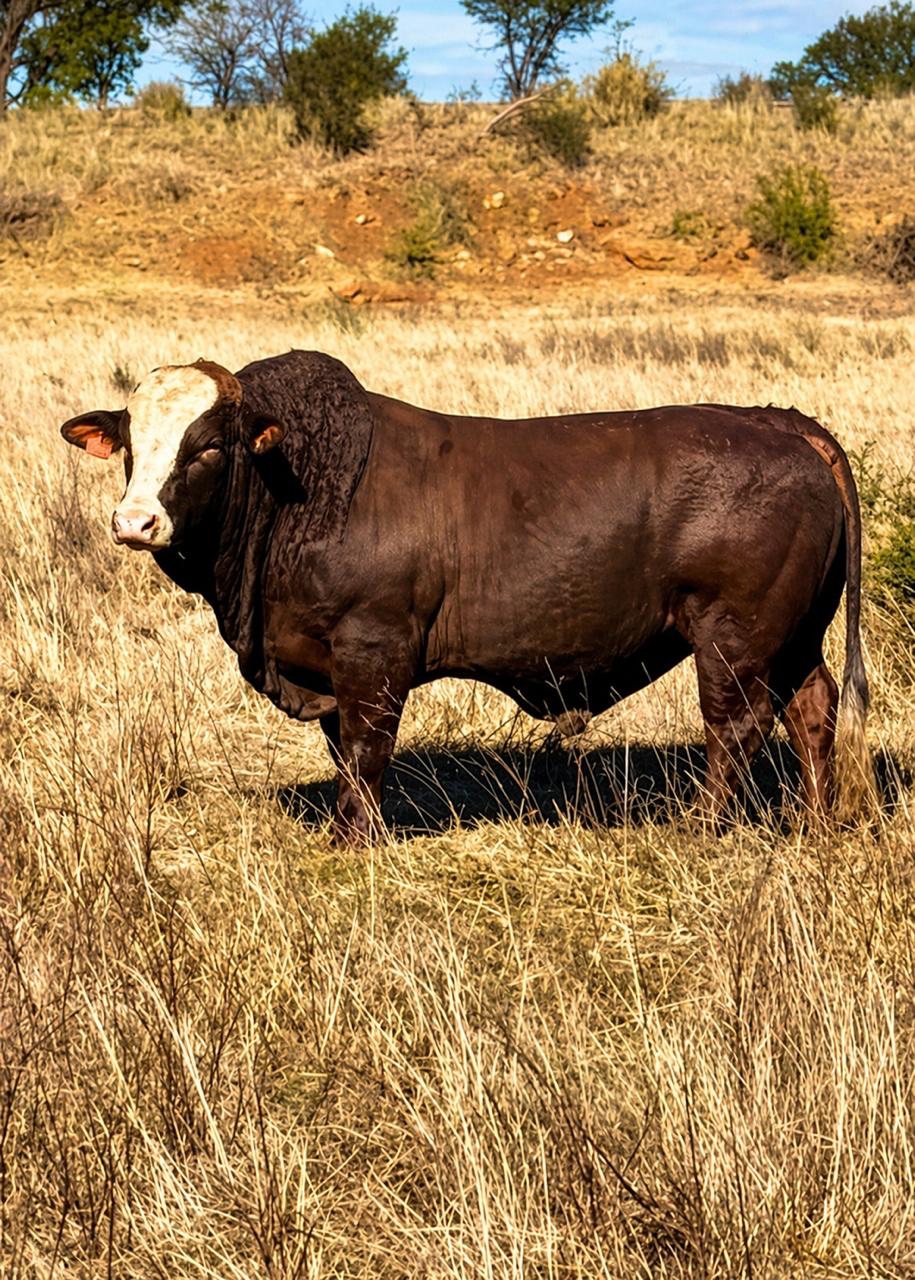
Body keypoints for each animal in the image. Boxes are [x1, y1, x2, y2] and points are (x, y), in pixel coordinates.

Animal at [60, 350, 873, 841]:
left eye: (206, 447)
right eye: (130, 443)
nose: (134, 521)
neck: (304, 490)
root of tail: (780, 423)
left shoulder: (372, 648)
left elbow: (366, 749)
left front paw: (355, 840)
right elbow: (344, 752)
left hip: (734, 637)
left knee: (736, 728)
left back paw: (701, 827)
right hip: (792, 635)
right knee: (812, 710)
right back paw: (815, 825)